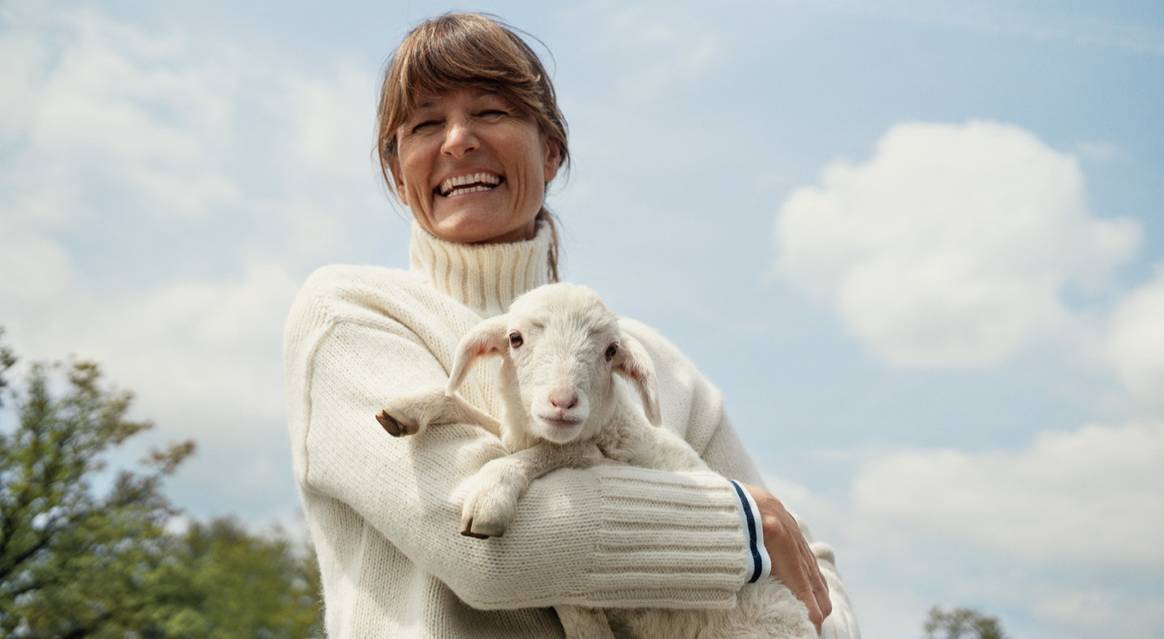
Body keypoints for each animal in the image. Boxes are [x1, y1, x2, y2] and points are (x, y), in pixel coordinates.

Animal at [377, 284, 814, 637]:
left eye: (610, 351)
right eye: (515, 339)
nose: (563, 402)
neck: (611, 427)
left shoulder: (603, 460)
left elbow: (549, 451)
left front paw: (490, 496)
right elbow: (482, 419)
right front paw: (411, 407)